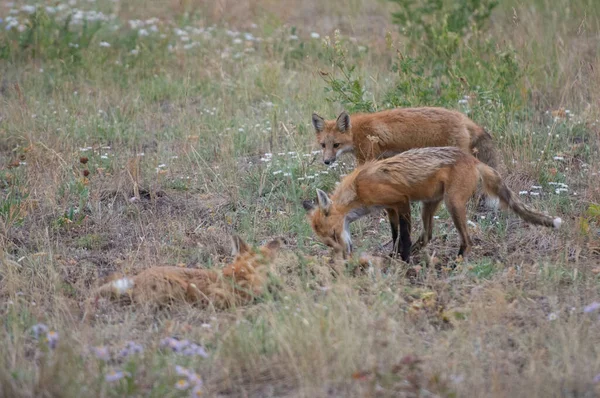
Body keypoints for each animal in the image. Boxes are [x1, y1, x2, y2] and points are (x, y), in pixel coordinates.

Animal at [304, 146, 564, 262]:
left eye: (334, 234)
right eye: (328, 242)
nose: (345, 257)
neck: (358, 189)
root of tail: (473, 159)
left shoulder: (401, 201)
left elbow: (404, 237)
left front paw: (404, 260)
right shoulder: (389, 208)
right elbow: (396, 235)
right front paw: (395, 256)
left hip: (453, 204)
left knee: (467, 241)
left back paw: (456, 265)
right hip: (429, 205)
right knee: (428, 235)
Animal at [312, 107, 500, 260]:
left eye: (336, 145)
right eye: (323, 145)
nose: (326, 161)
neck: (357, 130)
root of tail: (463, 118)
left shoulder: (368, 159)